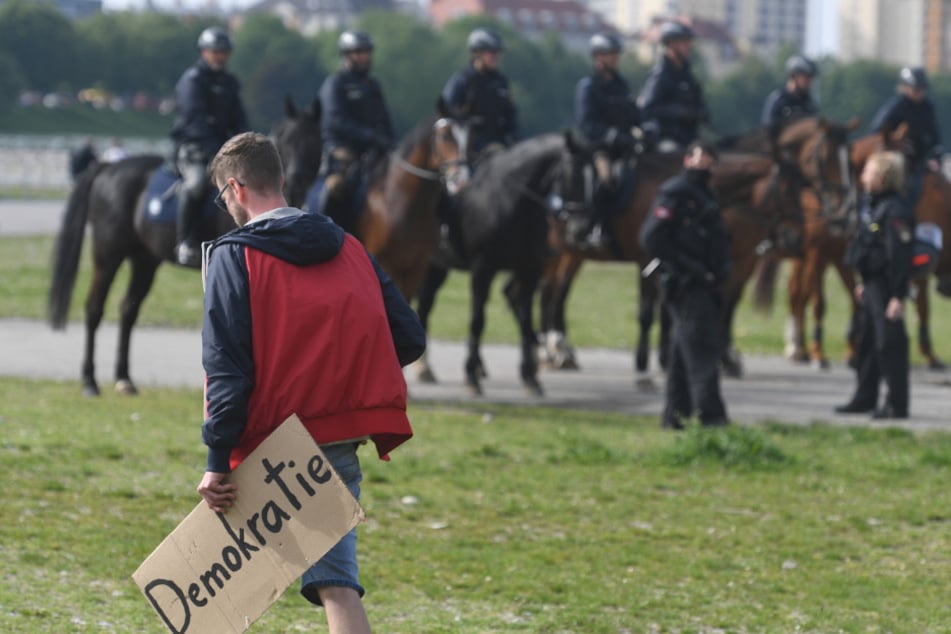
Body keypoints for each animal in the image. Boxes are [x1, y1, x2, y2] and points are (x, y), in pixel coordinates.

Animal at [47, 99, 324, 392]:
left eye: (316, 140)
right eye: (287, 138)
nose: (296, 180)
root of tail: (107, 168)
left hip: (144, 261)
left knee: (128, 309)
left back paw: (124, 377)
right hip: (108, 255)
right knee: (94, 308)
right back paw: (89, 380)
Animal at [410, 131, 580, 392]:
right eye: (576, 171)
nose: (578, 225)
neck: (514, 203)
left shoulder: (530, 269)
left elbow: (525, 315)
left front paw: (529, 375)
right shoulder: (483, 268)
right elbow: (478, 320)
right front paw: (471, 376)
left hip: (438, 268)